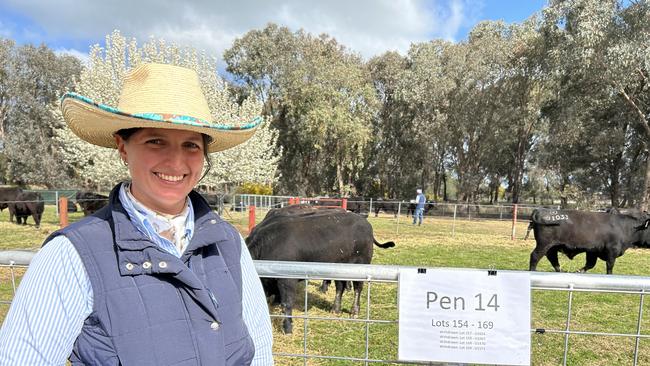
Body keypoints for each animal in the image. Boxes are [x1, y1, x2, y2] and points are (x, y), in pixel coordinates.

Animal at [244, 204, 392, 334]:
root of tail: (364, 222)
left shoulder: (287, 280)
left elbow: (287, 303)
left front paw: (287, 328)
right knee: (340, 287)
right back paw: (335, 309)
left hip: (360, 265)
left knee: (357, 288)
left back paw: (354, 311)